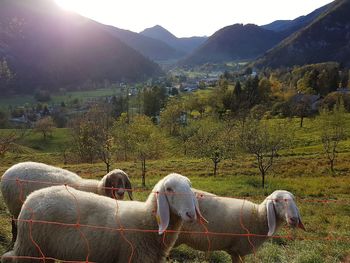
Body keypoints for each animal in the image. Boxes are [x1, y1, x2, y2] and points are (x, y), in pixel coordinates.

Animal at [0, 162, 132, 244]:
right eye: (113, 181)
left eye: (124, 181)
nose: (121, 193)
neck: (98, 189)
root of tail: (8, 171)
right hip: (15, 206)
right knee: (14, 223)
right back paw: (14, 239)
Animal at [0, 173, 205, 263]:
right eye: (169, 189)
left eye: (190, 187)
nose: (191, 214)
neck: (146, 222)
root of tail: (32, 198)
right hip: (31, 250)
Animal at [176, 191, 304, 262]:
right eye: (276, 200)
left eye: (294, 200)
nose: (294, 219)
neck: (258, 216)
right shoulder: (238, 250)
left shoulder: (235, 251)